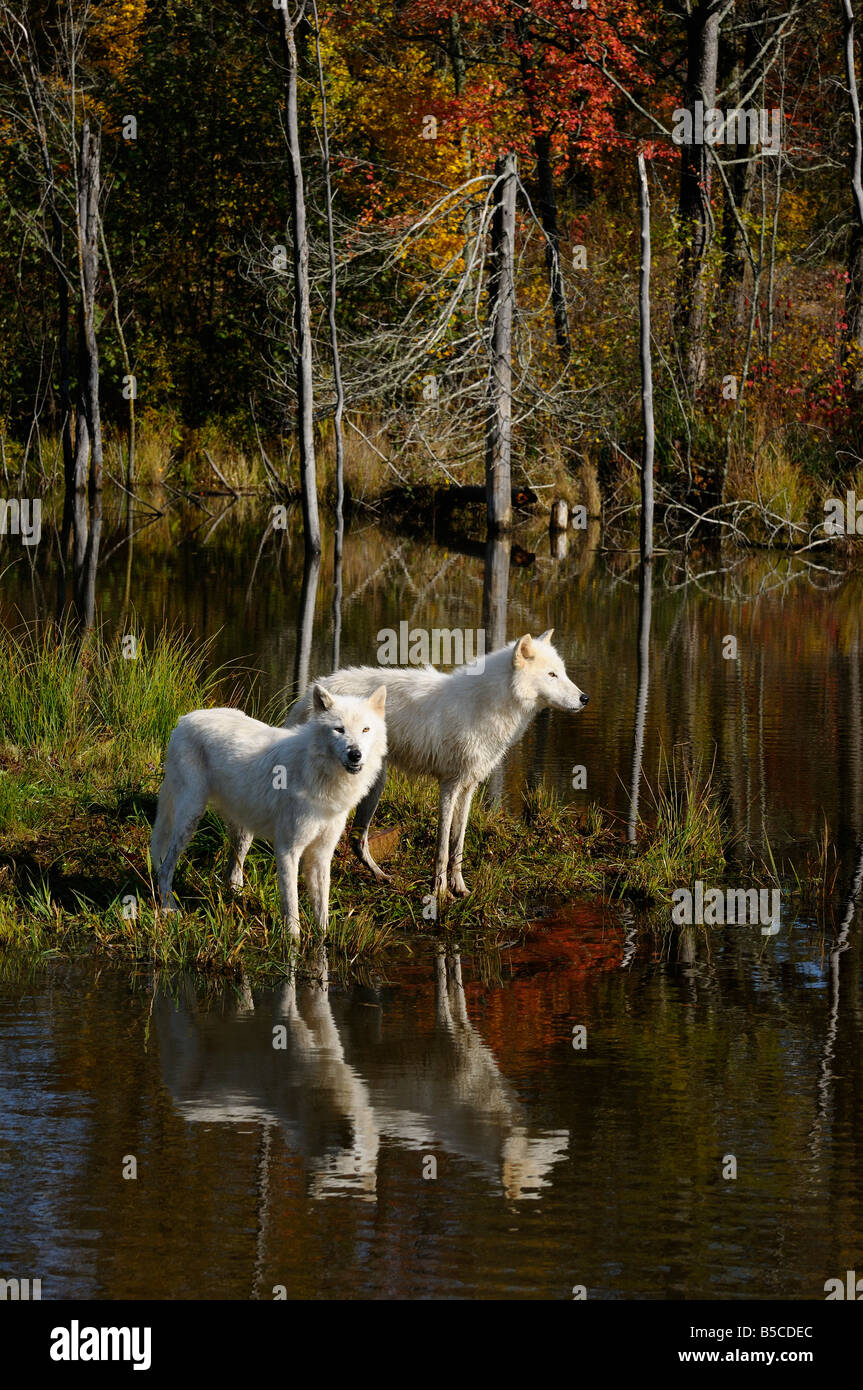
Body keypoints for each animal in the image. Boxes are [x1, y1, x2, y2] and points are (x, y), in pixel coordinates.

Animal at [151, 686, 386, 939]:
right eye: (339, 729)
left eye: (365, 729)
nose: (355, 754)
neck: (320, 776)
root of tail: (184, 719)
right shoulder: (287, 850)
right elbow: (292, 907)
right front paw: (293, 942)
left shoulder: (321, 854)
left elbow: (322, 909)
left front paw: (323, 940)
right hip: (190, 818)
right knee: (165, 868)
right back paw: (169, 907)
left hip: (243, 832)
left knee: (231, 875)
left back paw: (238, 898)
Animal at [282, 633, 586, 900]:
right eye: (552, 675)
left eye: (562, 672)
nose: (585, 698)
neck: (486, 706)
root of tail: (312, 690)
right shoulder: (448, 785)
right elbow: (442, 845)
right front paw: (440, 892)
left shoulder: (468, 787)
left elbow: (458, 844)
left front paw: (460, 888)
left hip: (374, 785)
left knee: (358, 839)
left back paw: (382, 876)